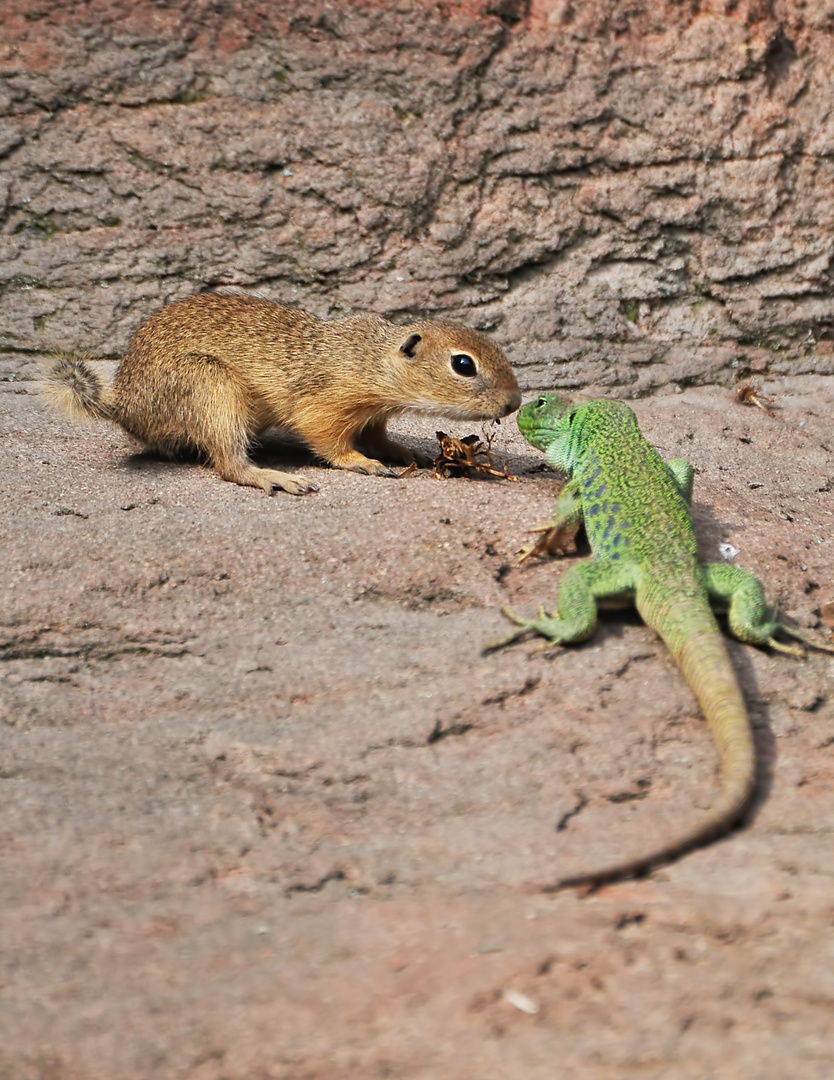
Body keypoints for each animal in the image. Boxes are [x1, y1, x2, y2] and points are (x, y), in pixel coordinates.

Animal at [45, 291, 518, 494]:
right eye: (463, 364)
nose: (514, 402)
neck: (371, 358)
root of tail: (122, 403)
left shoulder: (373, 418)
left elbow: (381, 438)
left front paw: (405, 452)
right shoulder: (325, 407)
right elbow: (330, 443)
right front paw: (362, 463)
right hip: (212, 387)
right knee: (229, 465)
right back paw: (274, 477)